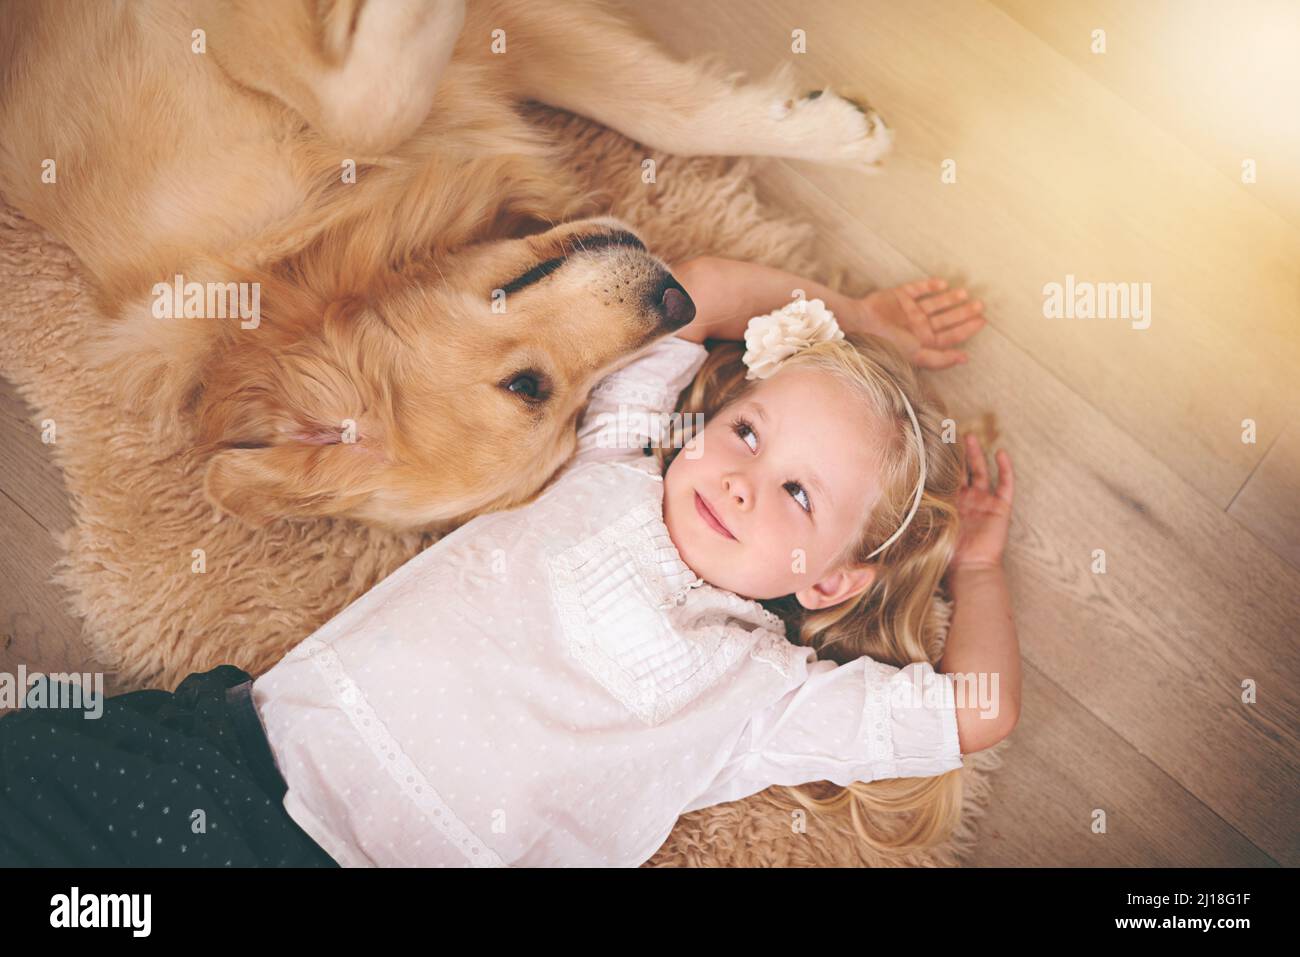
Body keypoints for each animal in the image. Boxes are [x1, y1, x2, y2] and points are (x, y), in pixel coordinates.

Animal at [0, 0, 894, 530]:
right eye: (531, 388)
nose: (678, 299)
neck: (296, 241)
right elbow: (374, 101)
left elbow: (664, 115)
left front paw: (832, 133)